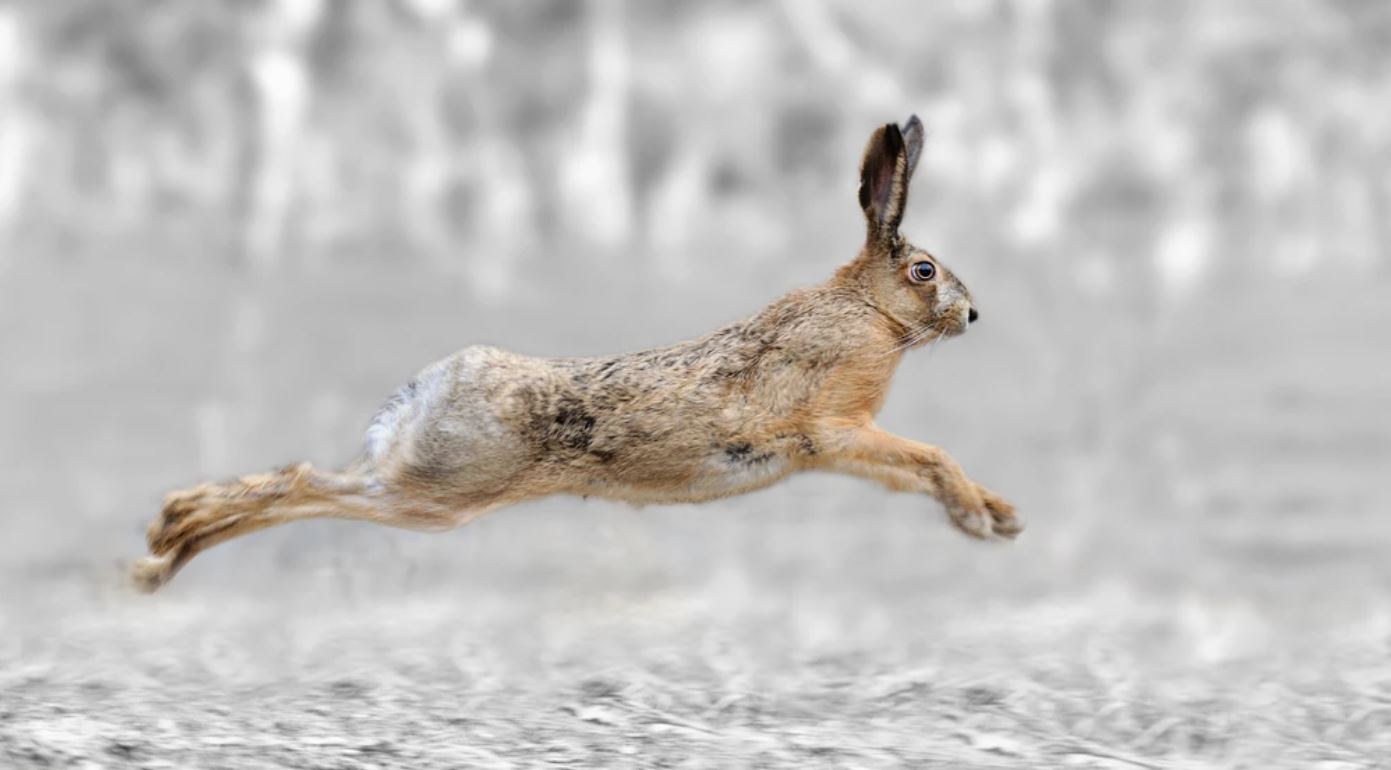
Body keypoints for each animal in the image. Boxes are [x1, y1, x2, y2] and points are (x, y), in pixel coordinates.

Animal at [132, 115, 1020, 593]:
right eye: (923, 271)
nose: (974, 314)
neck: (865, 310)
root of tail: (425, 390)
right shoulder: (832, 429)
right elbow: (930, 456)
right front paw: (979, 520)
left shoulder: (841, 448)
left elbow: (918, 467)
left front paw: (1000, 516)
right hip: (438, 493)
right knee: (308, 484)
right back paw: (163, 553)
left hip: (422, 485)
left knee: (306, 481)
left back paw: (169, 537)